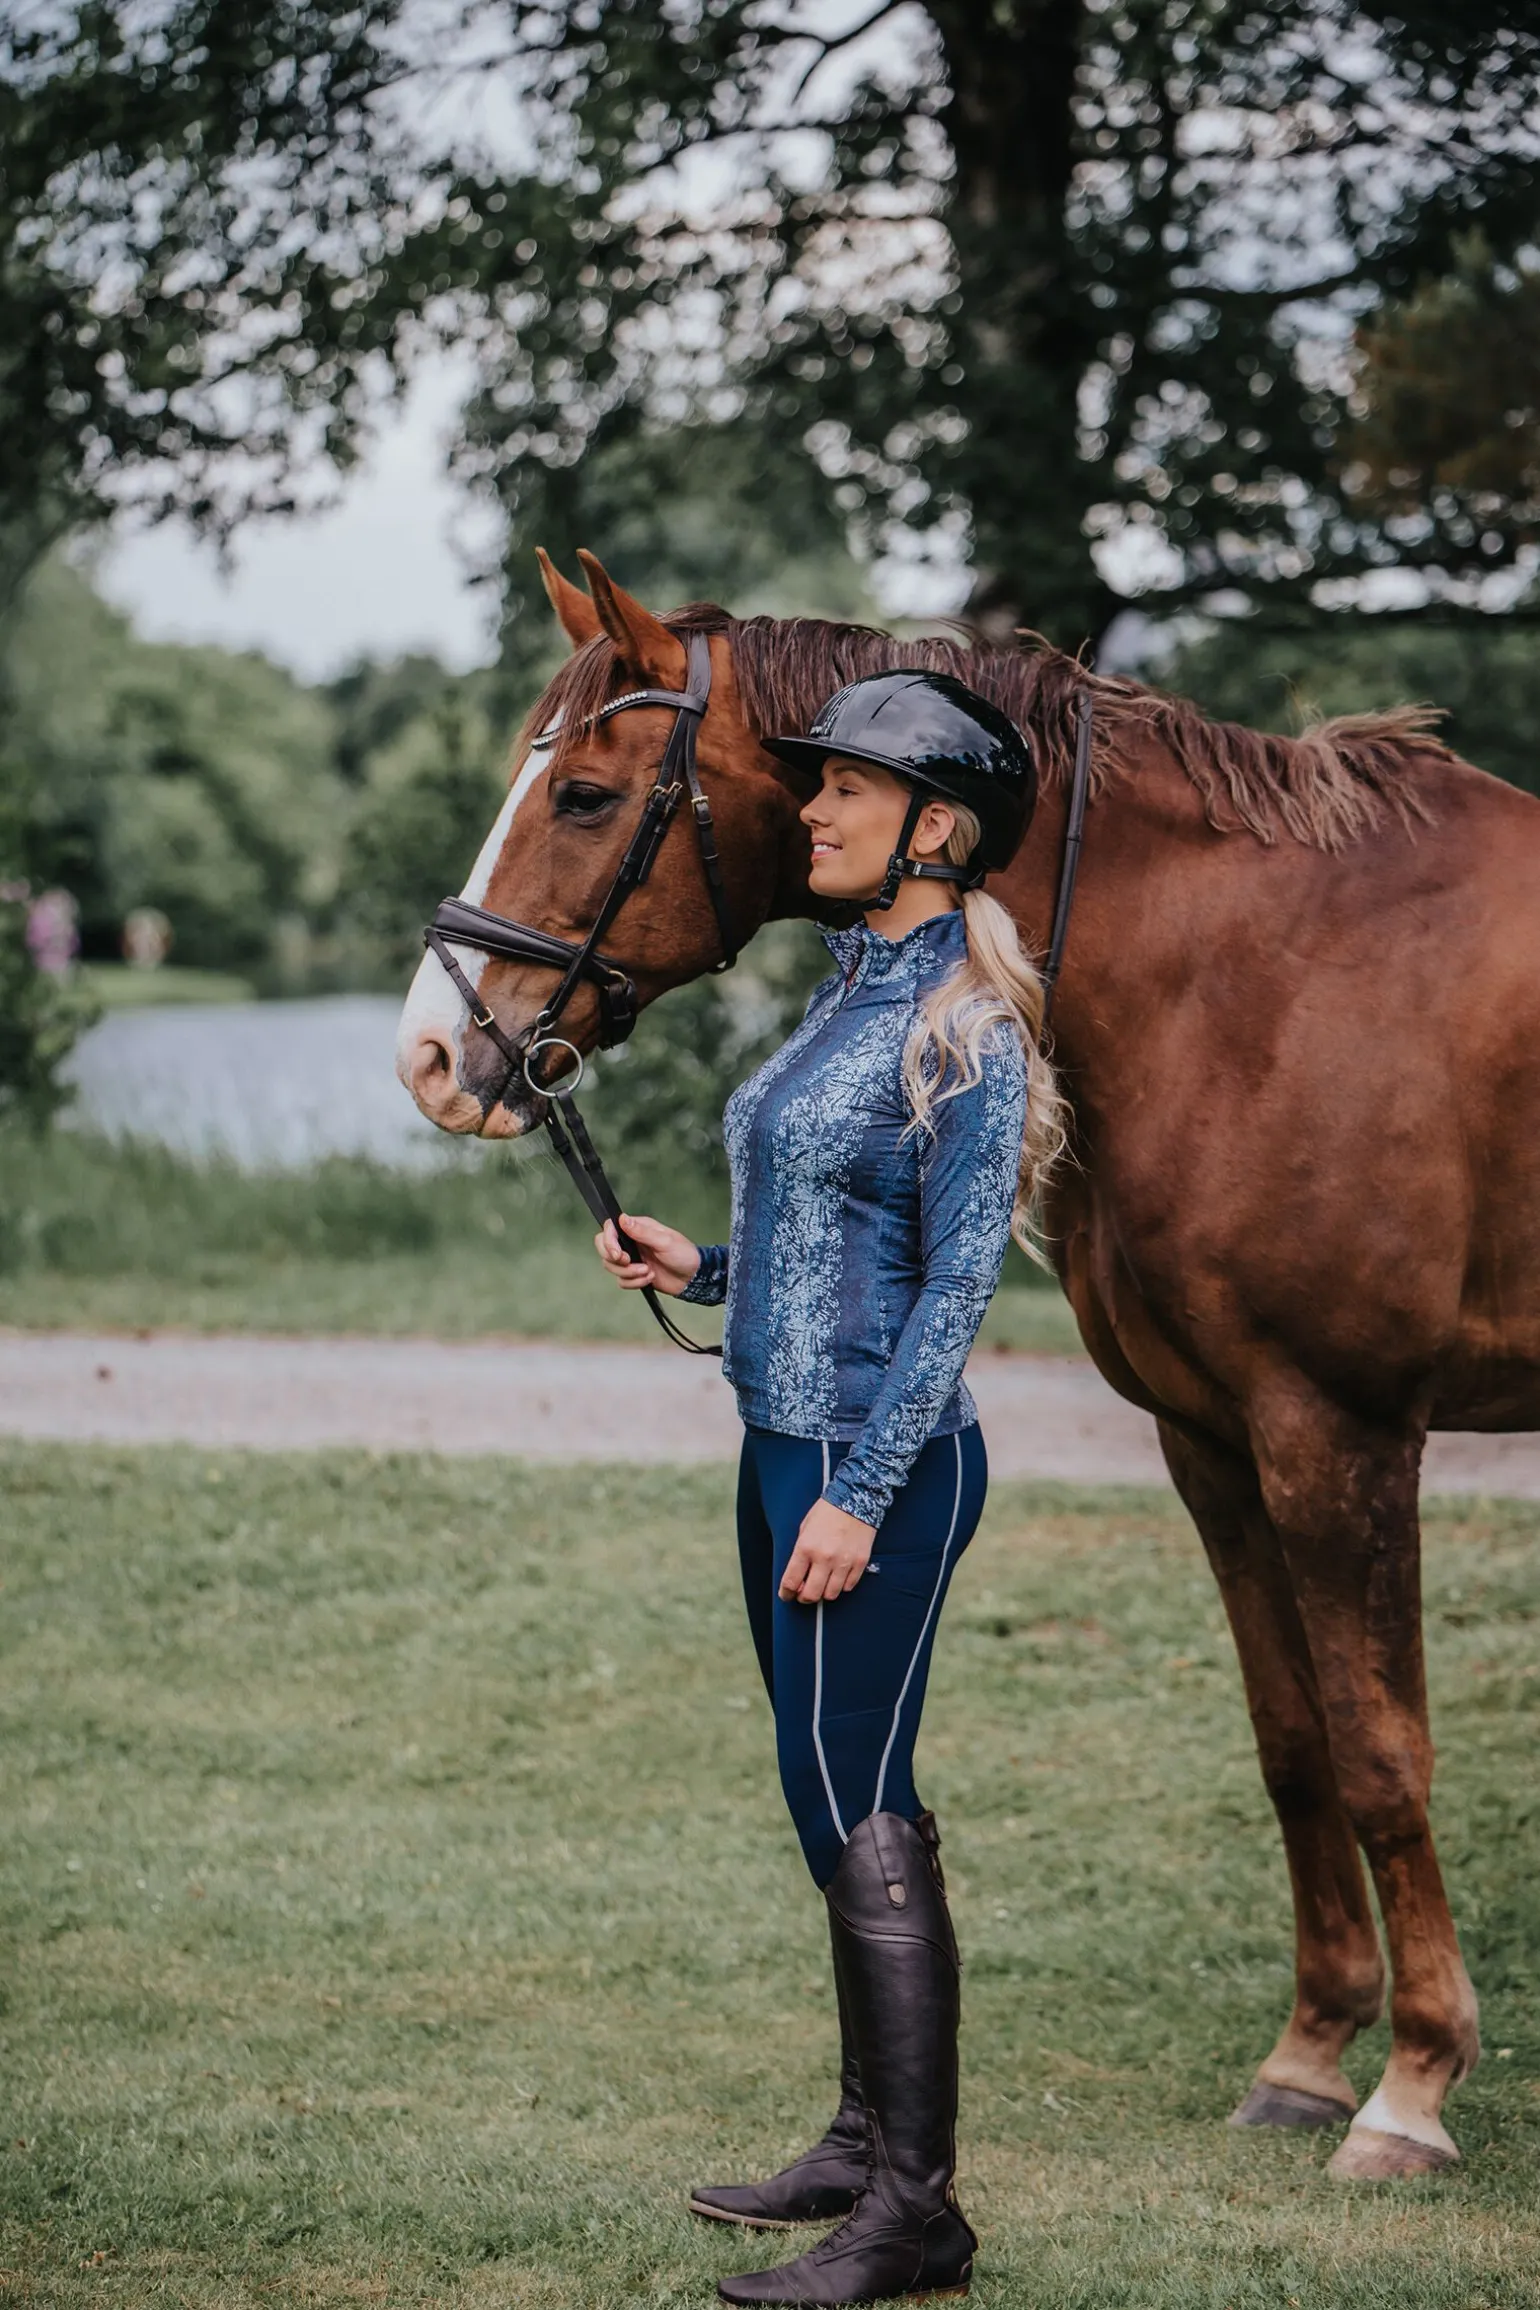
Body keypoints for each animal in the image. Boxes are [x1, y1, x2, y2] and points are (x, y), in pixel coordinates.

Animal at [397, 546, 1540, 2182]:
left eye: (587, 797)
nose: (433, 1058)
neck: (1260, 980)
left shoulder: (1343, 1433)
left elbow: (1384, 1754)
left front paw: (1413, 2089)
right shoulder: (1217, 1439)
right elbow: (1294, 1744)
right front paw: (1312, 2056)